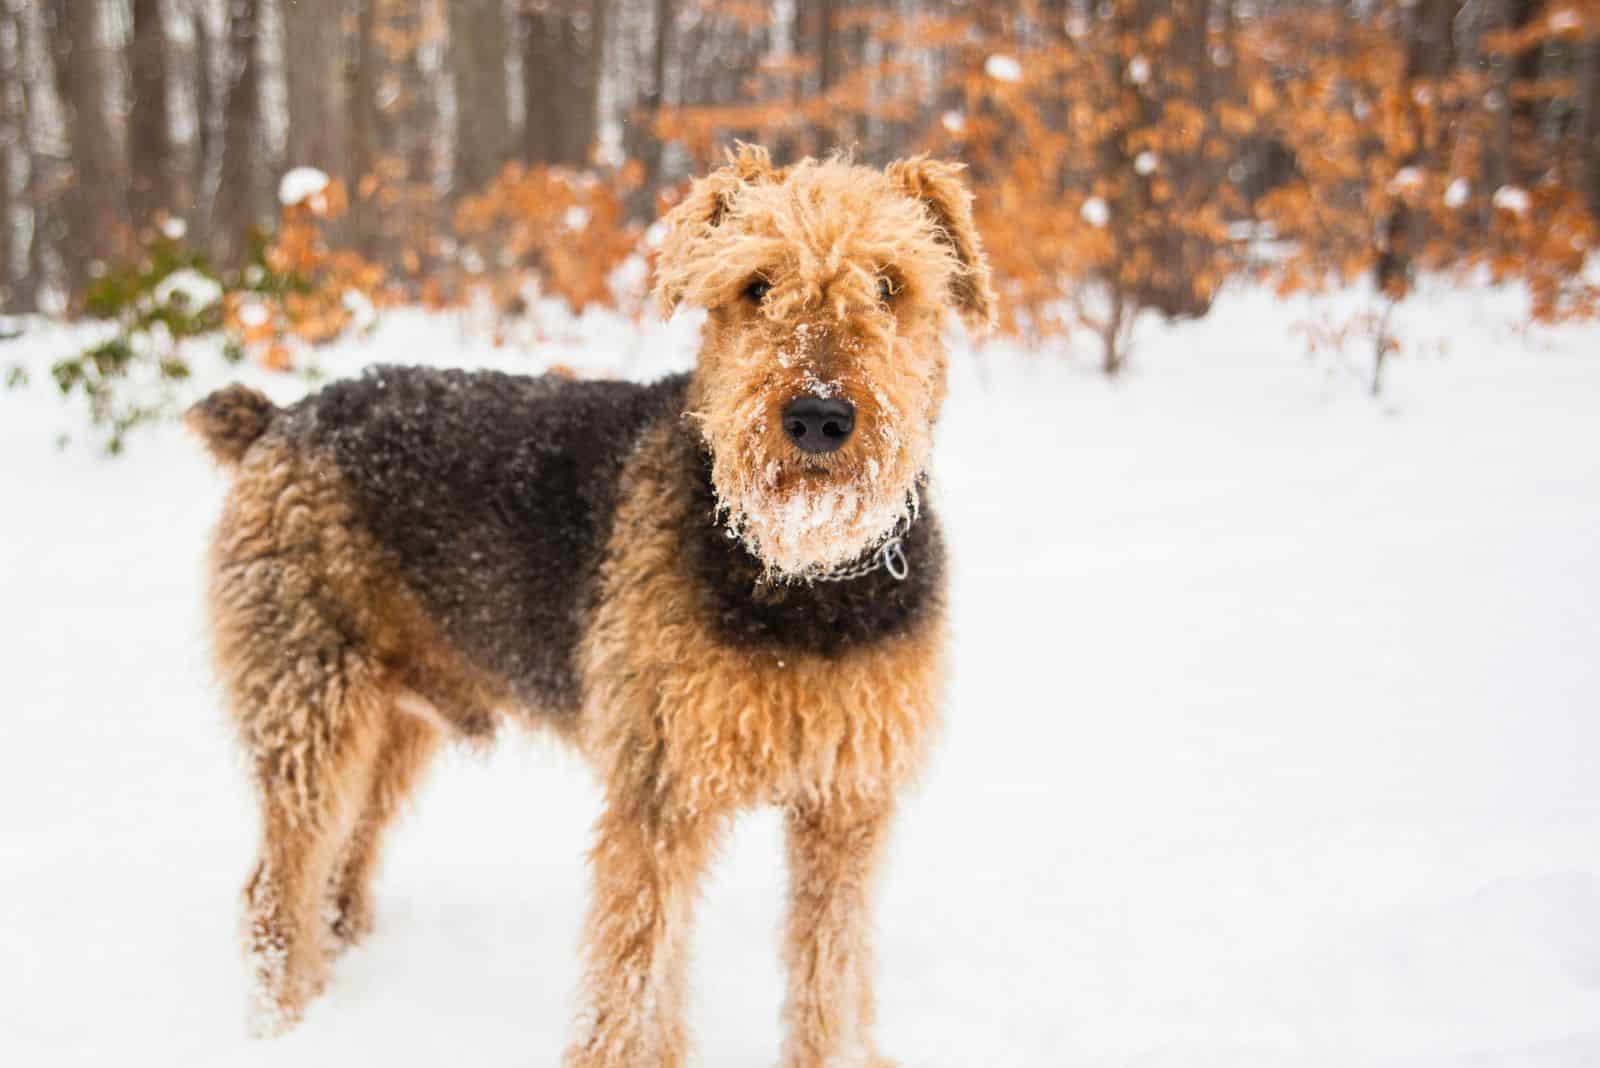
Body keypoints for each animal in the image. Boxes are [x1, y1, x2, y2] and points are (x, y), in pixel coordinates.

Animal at [184, 143, 985, 1068]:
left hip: (392, 723)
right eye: (754, 285)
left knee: (337, 873)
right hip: (310, 710)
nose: (819, 416)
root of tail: (280, 418)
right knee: (273, 894)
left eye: (891, 284)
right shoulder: (660, 794)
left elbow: (829, 981)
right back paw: (280, 1026)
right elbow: (633, 983)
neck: (803, 585)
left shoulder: (846, 804)